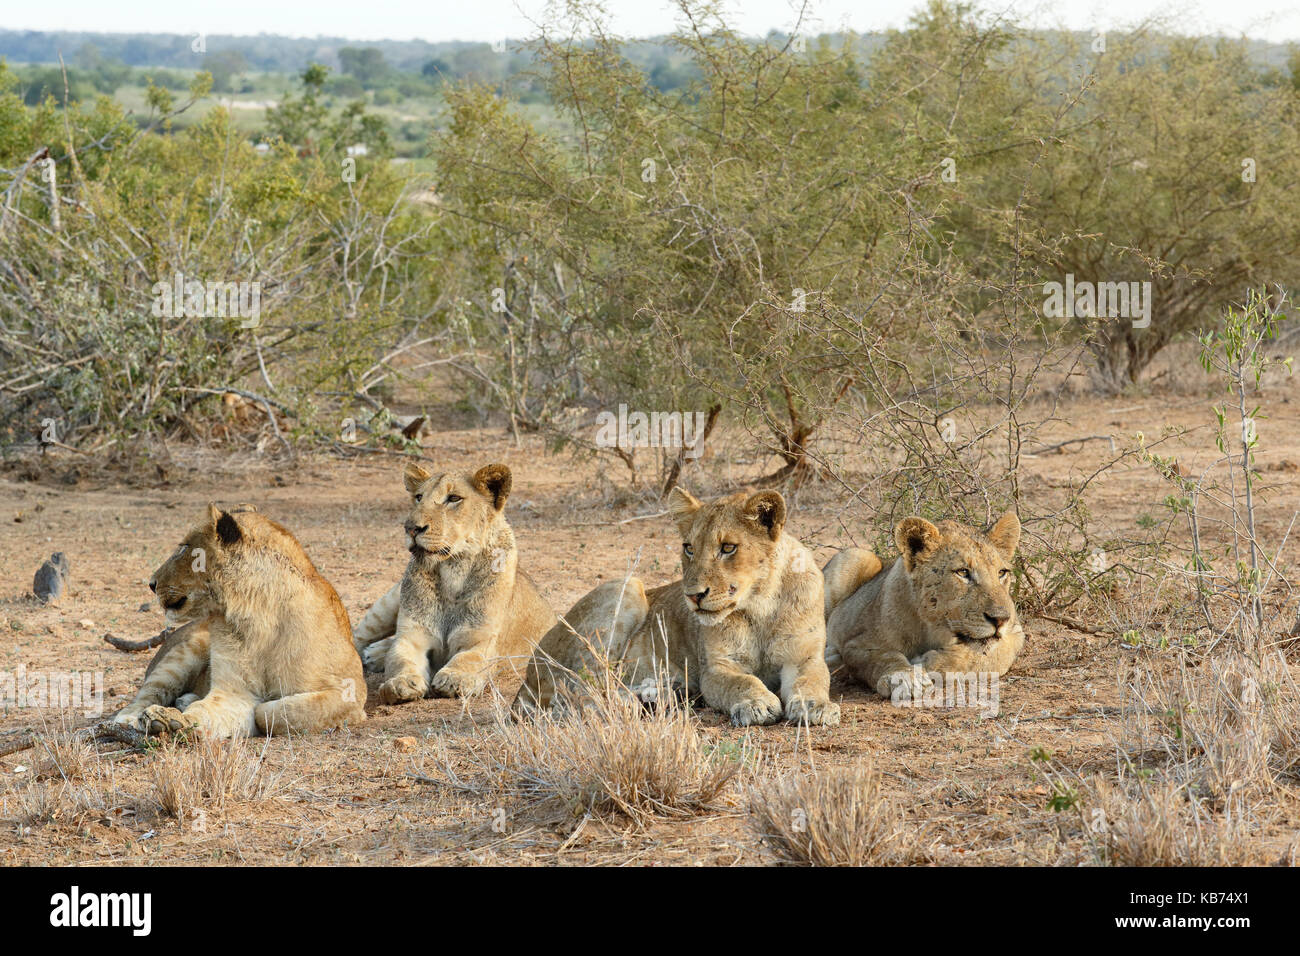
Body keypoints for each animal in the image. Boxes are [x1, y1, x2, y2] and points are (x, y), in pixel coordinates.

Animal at [112, 504, 366, 737]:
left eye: (184, 547)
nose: (151, 584)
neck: (258, 613)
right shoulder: (233, 692)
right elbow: (213, 710)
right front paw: (169, 720)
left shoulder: (350, 689)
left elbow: (272, 711)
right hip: (183, 654)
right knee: (146, 694)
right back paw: (130, 719)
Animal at [352, 462, 556, 703]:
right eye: (419, 497)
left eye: (454, 498)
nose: (411, 528)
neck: (453, 571)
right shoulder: (411, 636)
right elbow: (400, 658)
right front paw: (400, 683)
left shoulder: (482, 641)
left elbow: (467, 659)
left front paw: (454, 679)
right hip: (389, 602)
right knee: (355, 636)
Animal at [512, 487, 839, 727]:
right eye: (689, 548)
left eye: (728, 547)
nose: (694, 596)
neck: (760, 605)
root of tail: (526, 677)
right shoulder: (716, 669)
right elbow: (742, 681)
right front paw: (757, 704)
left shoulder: (804, 657)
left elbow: (813, 679)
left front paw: (818, 707)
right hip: (627, 587)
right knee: (579, 688)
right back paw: (629, 702)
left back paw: (659, 693)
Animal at [822, 512, 1025, 698]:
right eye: (963, 572)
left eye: (1001, 573)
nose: (1000, 619)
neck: (934, 628)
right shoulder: (857, 643)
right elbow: (883, 658)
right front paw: (905, 678)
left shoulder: (1015, 632)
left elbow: (991, 657)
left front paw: (928, 663)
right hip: (855, 556)